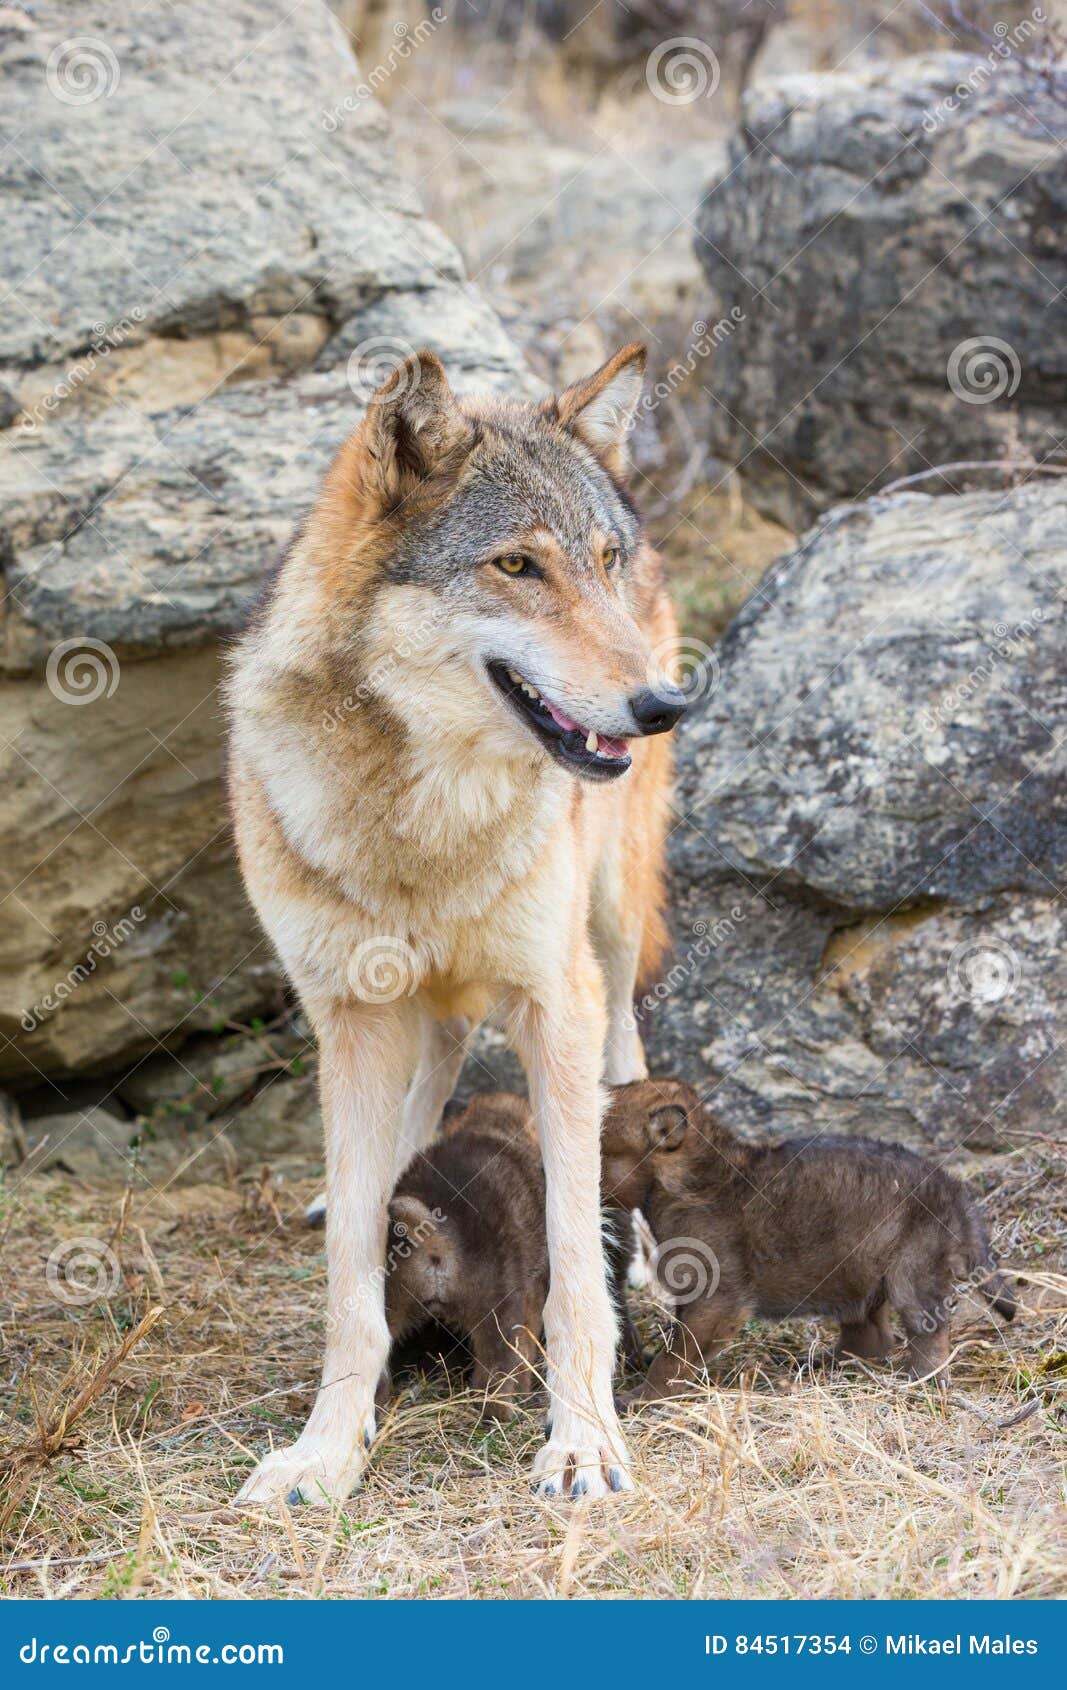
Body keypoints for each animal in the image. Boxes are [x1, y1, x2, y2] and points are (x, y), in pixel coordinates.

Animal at [227, 344, 686, 1503]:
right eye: (515, 566)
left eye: (598, 561)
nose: (665, 703)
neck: (423, 823)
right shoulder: (349, 1015)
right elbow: (350, 1277)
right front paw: (324, 1451)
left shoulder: (552, 999)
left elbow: (572, 1260)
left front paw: (582, 1441)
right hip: (410, 1003)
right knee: (428, 1071)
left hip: (609, 919)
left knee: (627, 1045)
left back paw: (648, 1261)